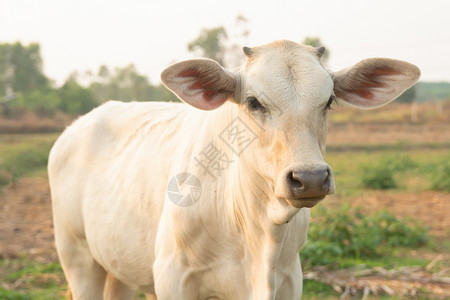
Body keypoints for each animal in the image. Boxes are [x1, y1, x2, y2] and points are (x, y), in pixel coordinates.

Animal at [47, 40, 420, 300]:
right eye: (254, 102)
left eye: (329, 101)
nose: (310, 178)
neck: (259, 230)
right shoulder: (173, 277)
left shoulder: (289, 279)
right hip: (77, 258)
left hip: (117, 265)